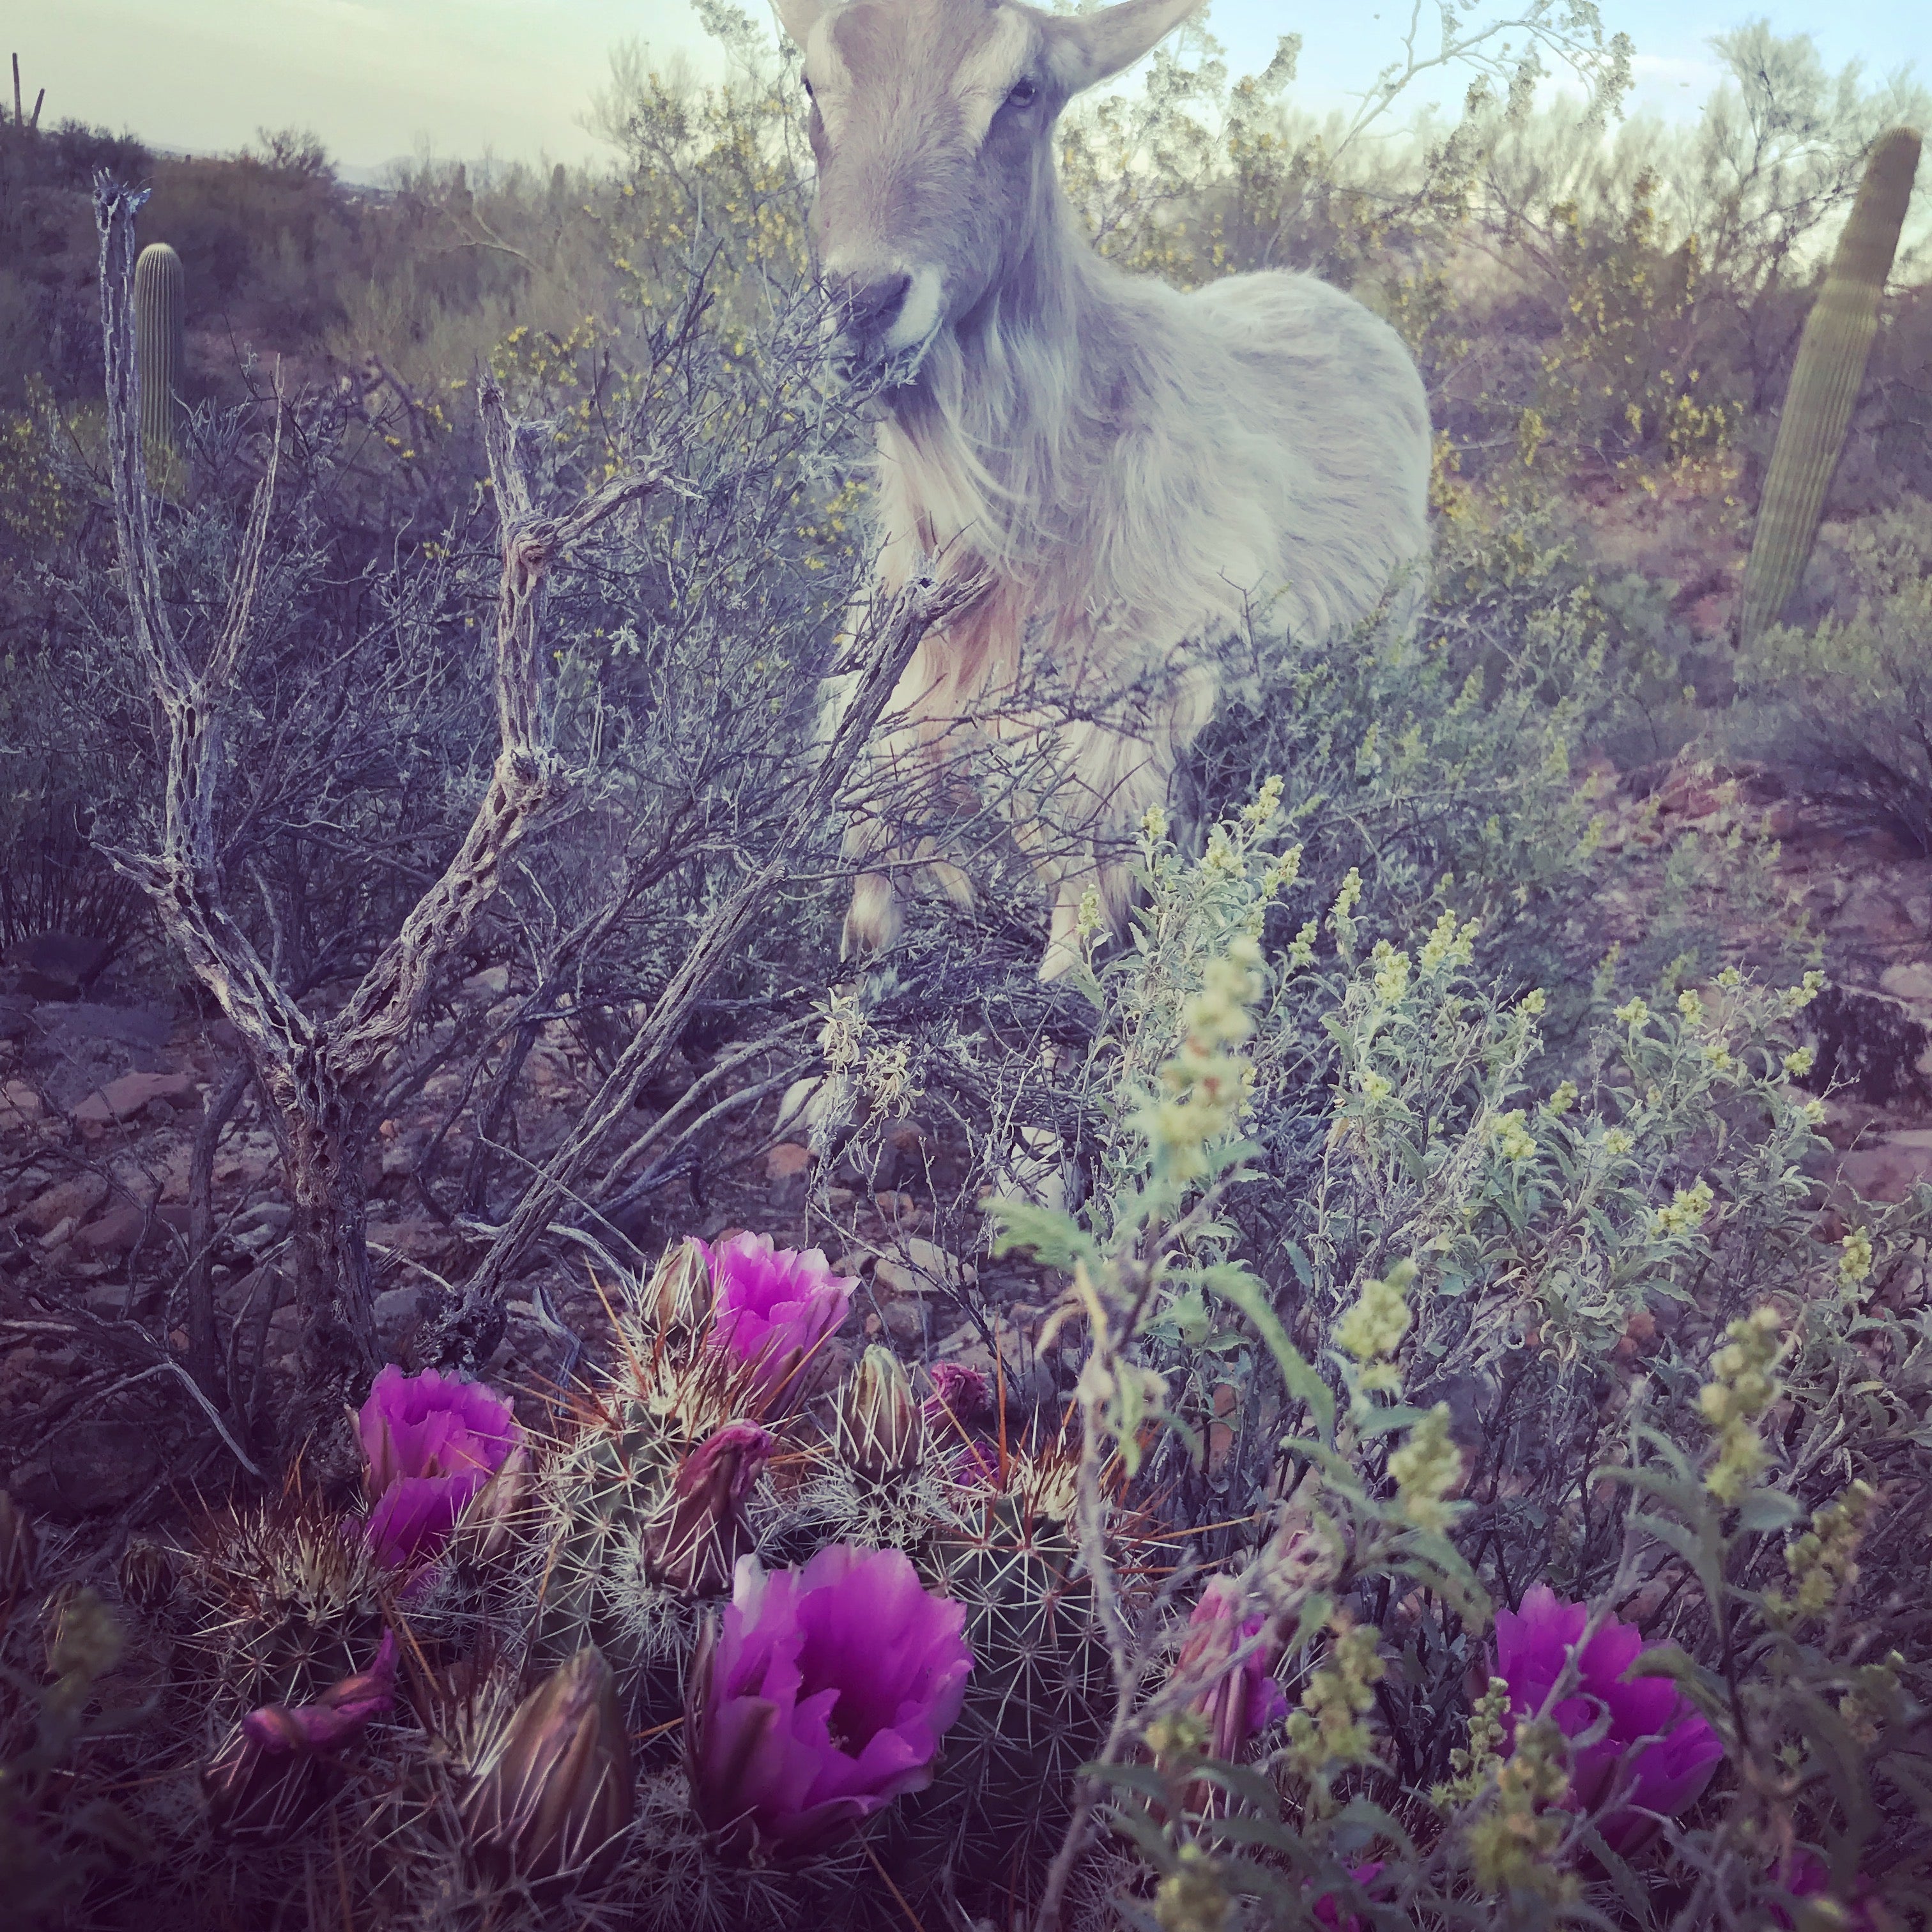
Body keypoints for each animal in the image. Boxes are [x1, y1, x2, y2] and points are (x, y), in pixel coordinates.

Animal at [772, 0, 1437, 974]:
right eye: (812, 82)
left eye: (1023, 90)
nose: (863, 299)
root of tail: (1329, 295)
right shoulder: (888, 743)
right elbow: (865, 920)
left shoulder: (1099, 773)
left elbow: (1069, 949)